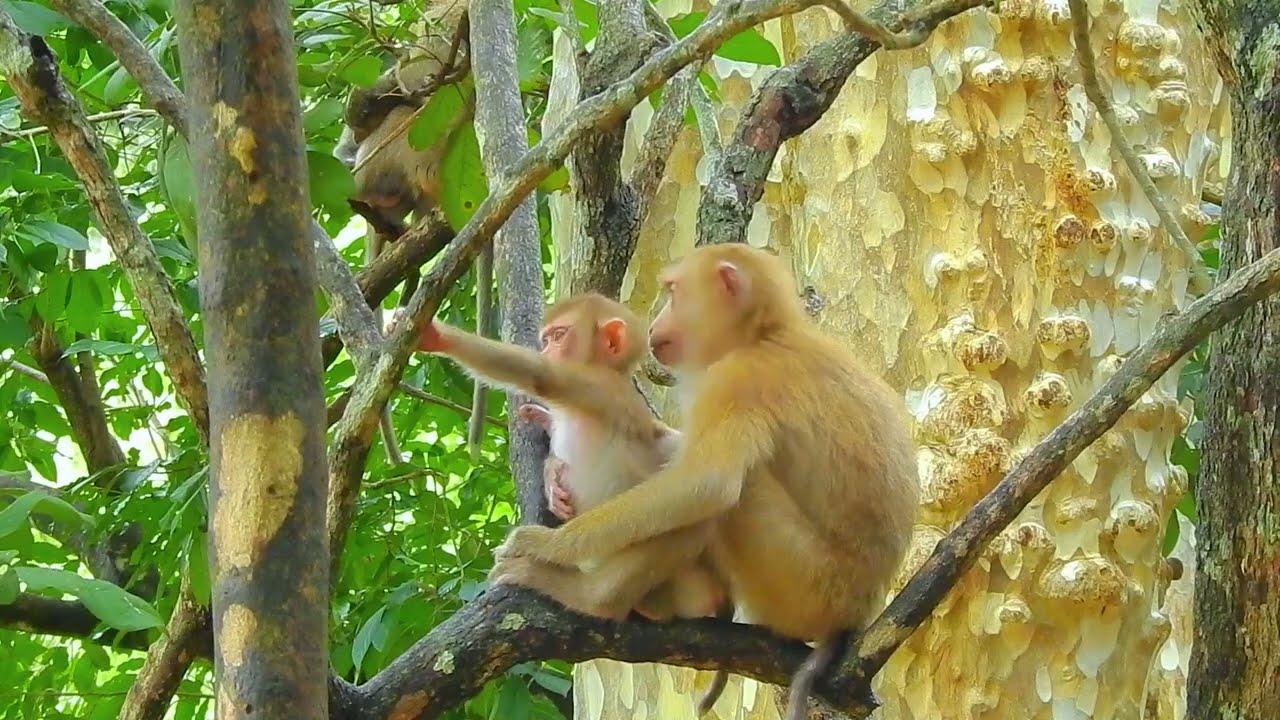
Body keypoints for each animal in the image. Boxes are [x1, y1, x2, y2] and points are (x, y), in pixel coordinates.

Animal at [415, 292, 729, 622]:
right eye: (546, 339)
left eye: (559, 336)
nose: (547, 350)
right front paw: (549, 448)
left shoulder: (595, 383)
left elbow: (540, 375)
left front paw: (438, 336)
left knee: (689, 517)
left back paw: (592, 598)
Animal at [486, 244, 920, 720]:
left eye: (675, 293)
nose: (654, 323)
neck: (764, 334)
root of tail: (854, 616)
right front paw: (551, 464)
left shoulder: (736, 380)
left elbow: (706, 484)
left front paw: (544, 545)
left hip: (801, 587)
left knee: (731, 495)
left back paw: (596, 596)